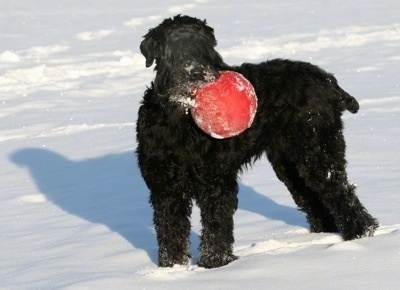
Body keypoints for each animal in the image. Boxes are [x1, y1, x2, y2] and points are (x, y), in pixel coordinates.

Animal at [137, 15, 378, 270]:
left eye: (206, 48)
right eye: (174, 50)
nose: (197, 73)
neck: (180, 121)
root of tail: (327, 81)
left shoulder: (216, 181)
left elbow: (216, 225)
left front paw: (215, 264)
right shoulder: (165, 187)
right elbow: (170, 229)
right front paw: (173, 267)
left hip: (318, 153)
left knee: (342, 194)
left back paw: (360, 235)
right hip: (290, 166)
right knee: (317, 201)